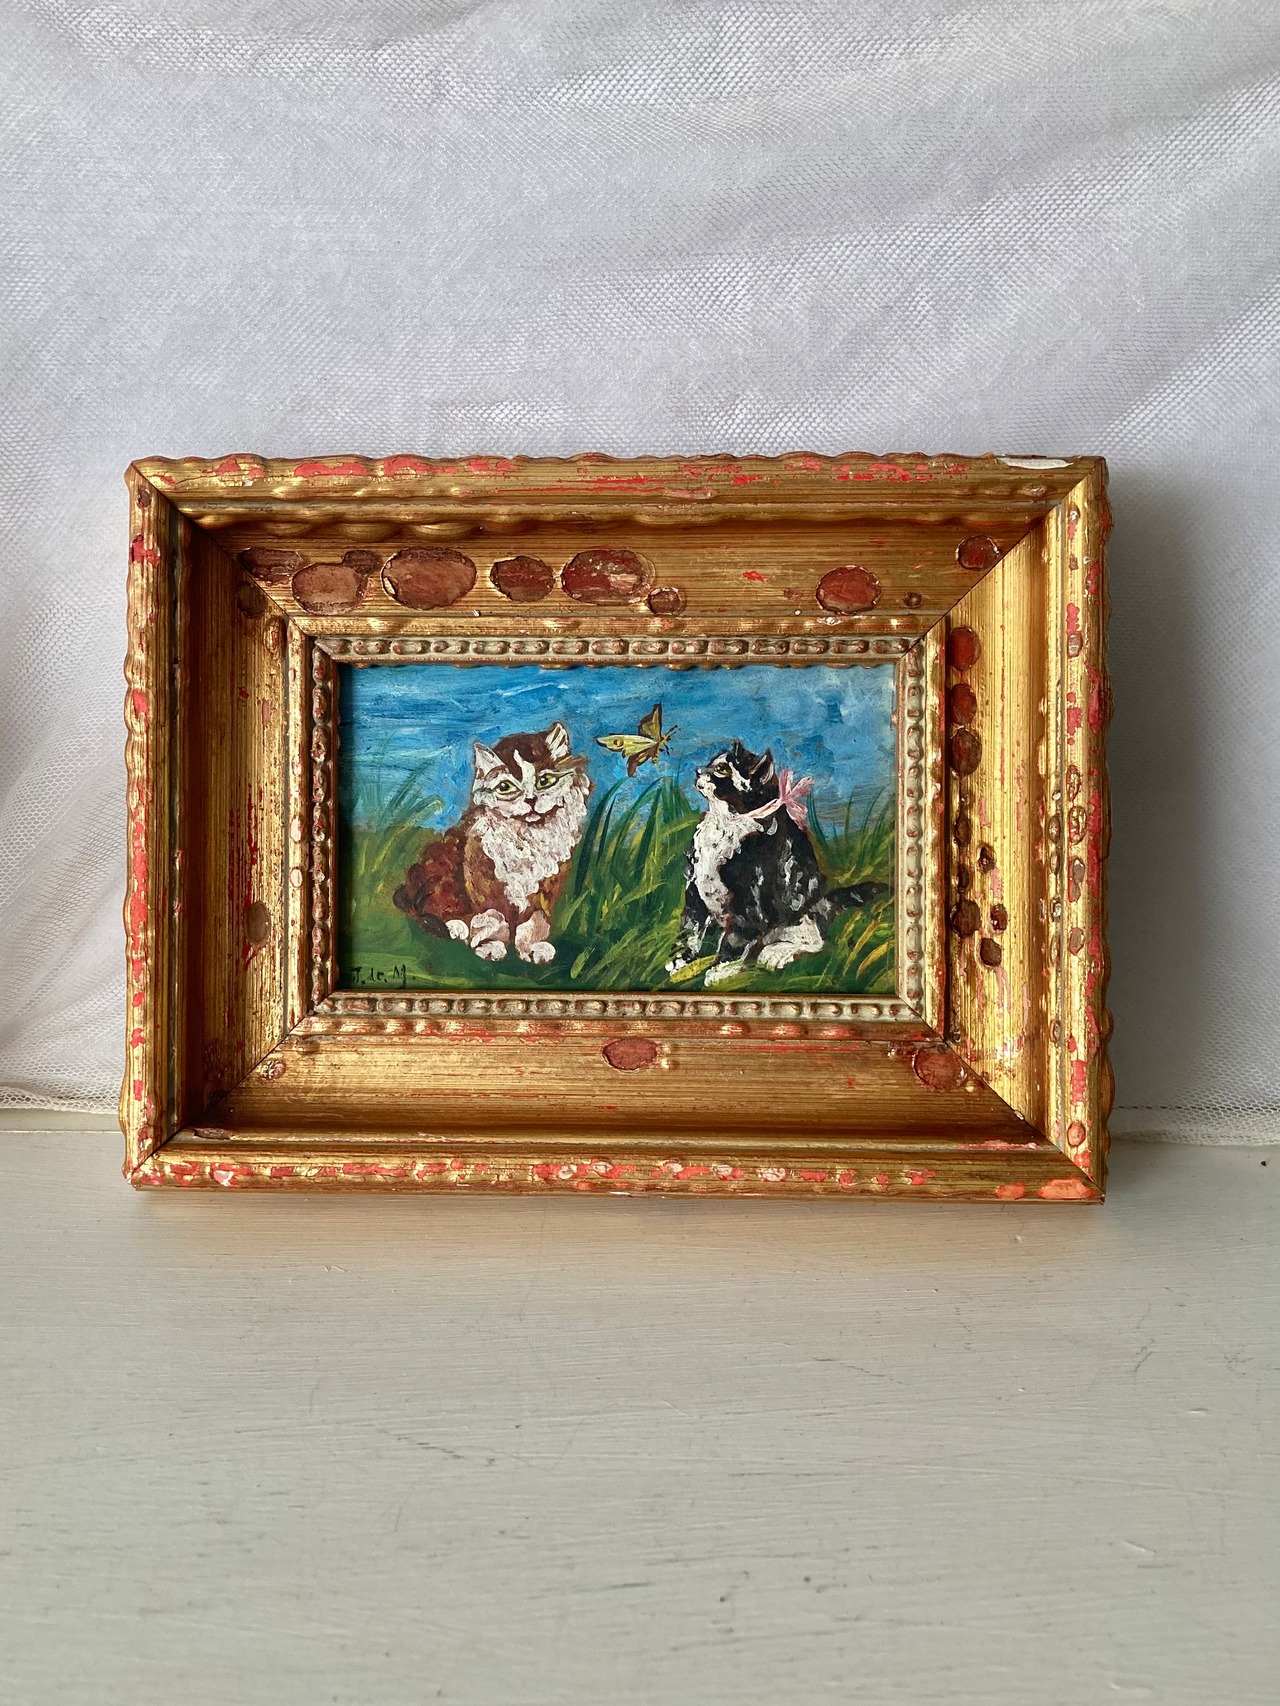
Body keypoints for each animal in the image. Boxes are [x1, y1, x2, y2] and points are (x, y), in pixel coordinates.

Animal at [393, 722, 591, 964]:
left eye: (544, 781)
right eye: (505, 787)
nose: (531, 800)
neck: (526, 837)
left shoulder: (546, 888)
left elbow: (536, 920)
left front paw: (532, 948)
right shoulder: (481, 879)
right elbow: (493, 917)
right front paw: (490, 945)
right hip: (439, 860)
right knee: (431, 905)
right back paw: (457, 928)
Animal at [665, 740, 890, 987]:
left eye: (722, 769)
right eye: (710, 763)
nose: (697, 771)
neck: (726, 822)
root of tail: (825, 901)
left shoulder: (748, 899)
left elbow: (735, 936)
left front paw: (722, 969)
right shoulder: (694, 889)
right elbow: (690, 928)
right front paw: (681, 961)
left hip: (802, 910)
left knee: (815, 940)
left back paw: (776, 953)